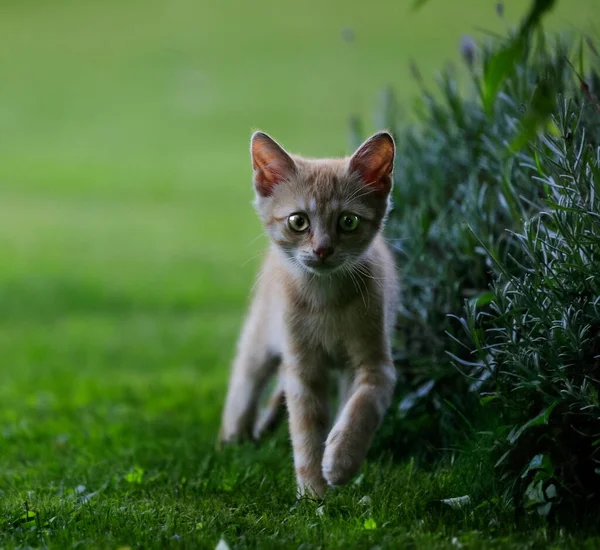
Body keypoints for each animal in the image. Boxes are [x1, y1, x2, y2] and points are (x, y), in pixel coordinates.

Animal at [220, 132, 398, 498]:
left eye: (348, 221)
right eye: (298, 221)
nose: (322, 250)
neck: (325, 301)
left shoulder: (376, 365)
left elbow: (362, 406)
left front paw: (341, 460)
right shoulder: (302, 369)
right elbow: (306, 429)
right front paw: (314, 491)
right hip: (261, 340)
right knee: (245, 383)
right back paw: (233, 439)